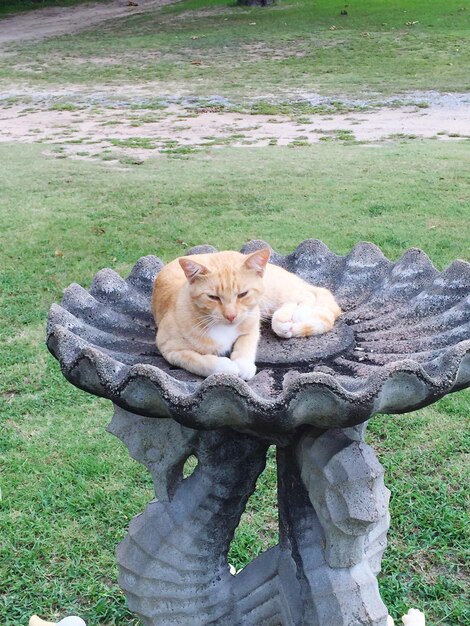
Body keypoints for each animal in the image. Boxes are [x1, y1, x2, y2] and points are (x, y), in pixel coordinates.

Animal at [152, 250, 340, 380]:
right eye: (213, 297)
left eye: (242, 294)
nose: (231, 315)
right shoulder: (169, 349)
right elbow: (197, 360)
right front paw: (227, 367)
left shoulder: (251, 324)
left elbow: (246, 344)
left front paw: (243, 365)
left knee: (308, 295)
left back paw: (297, 315)